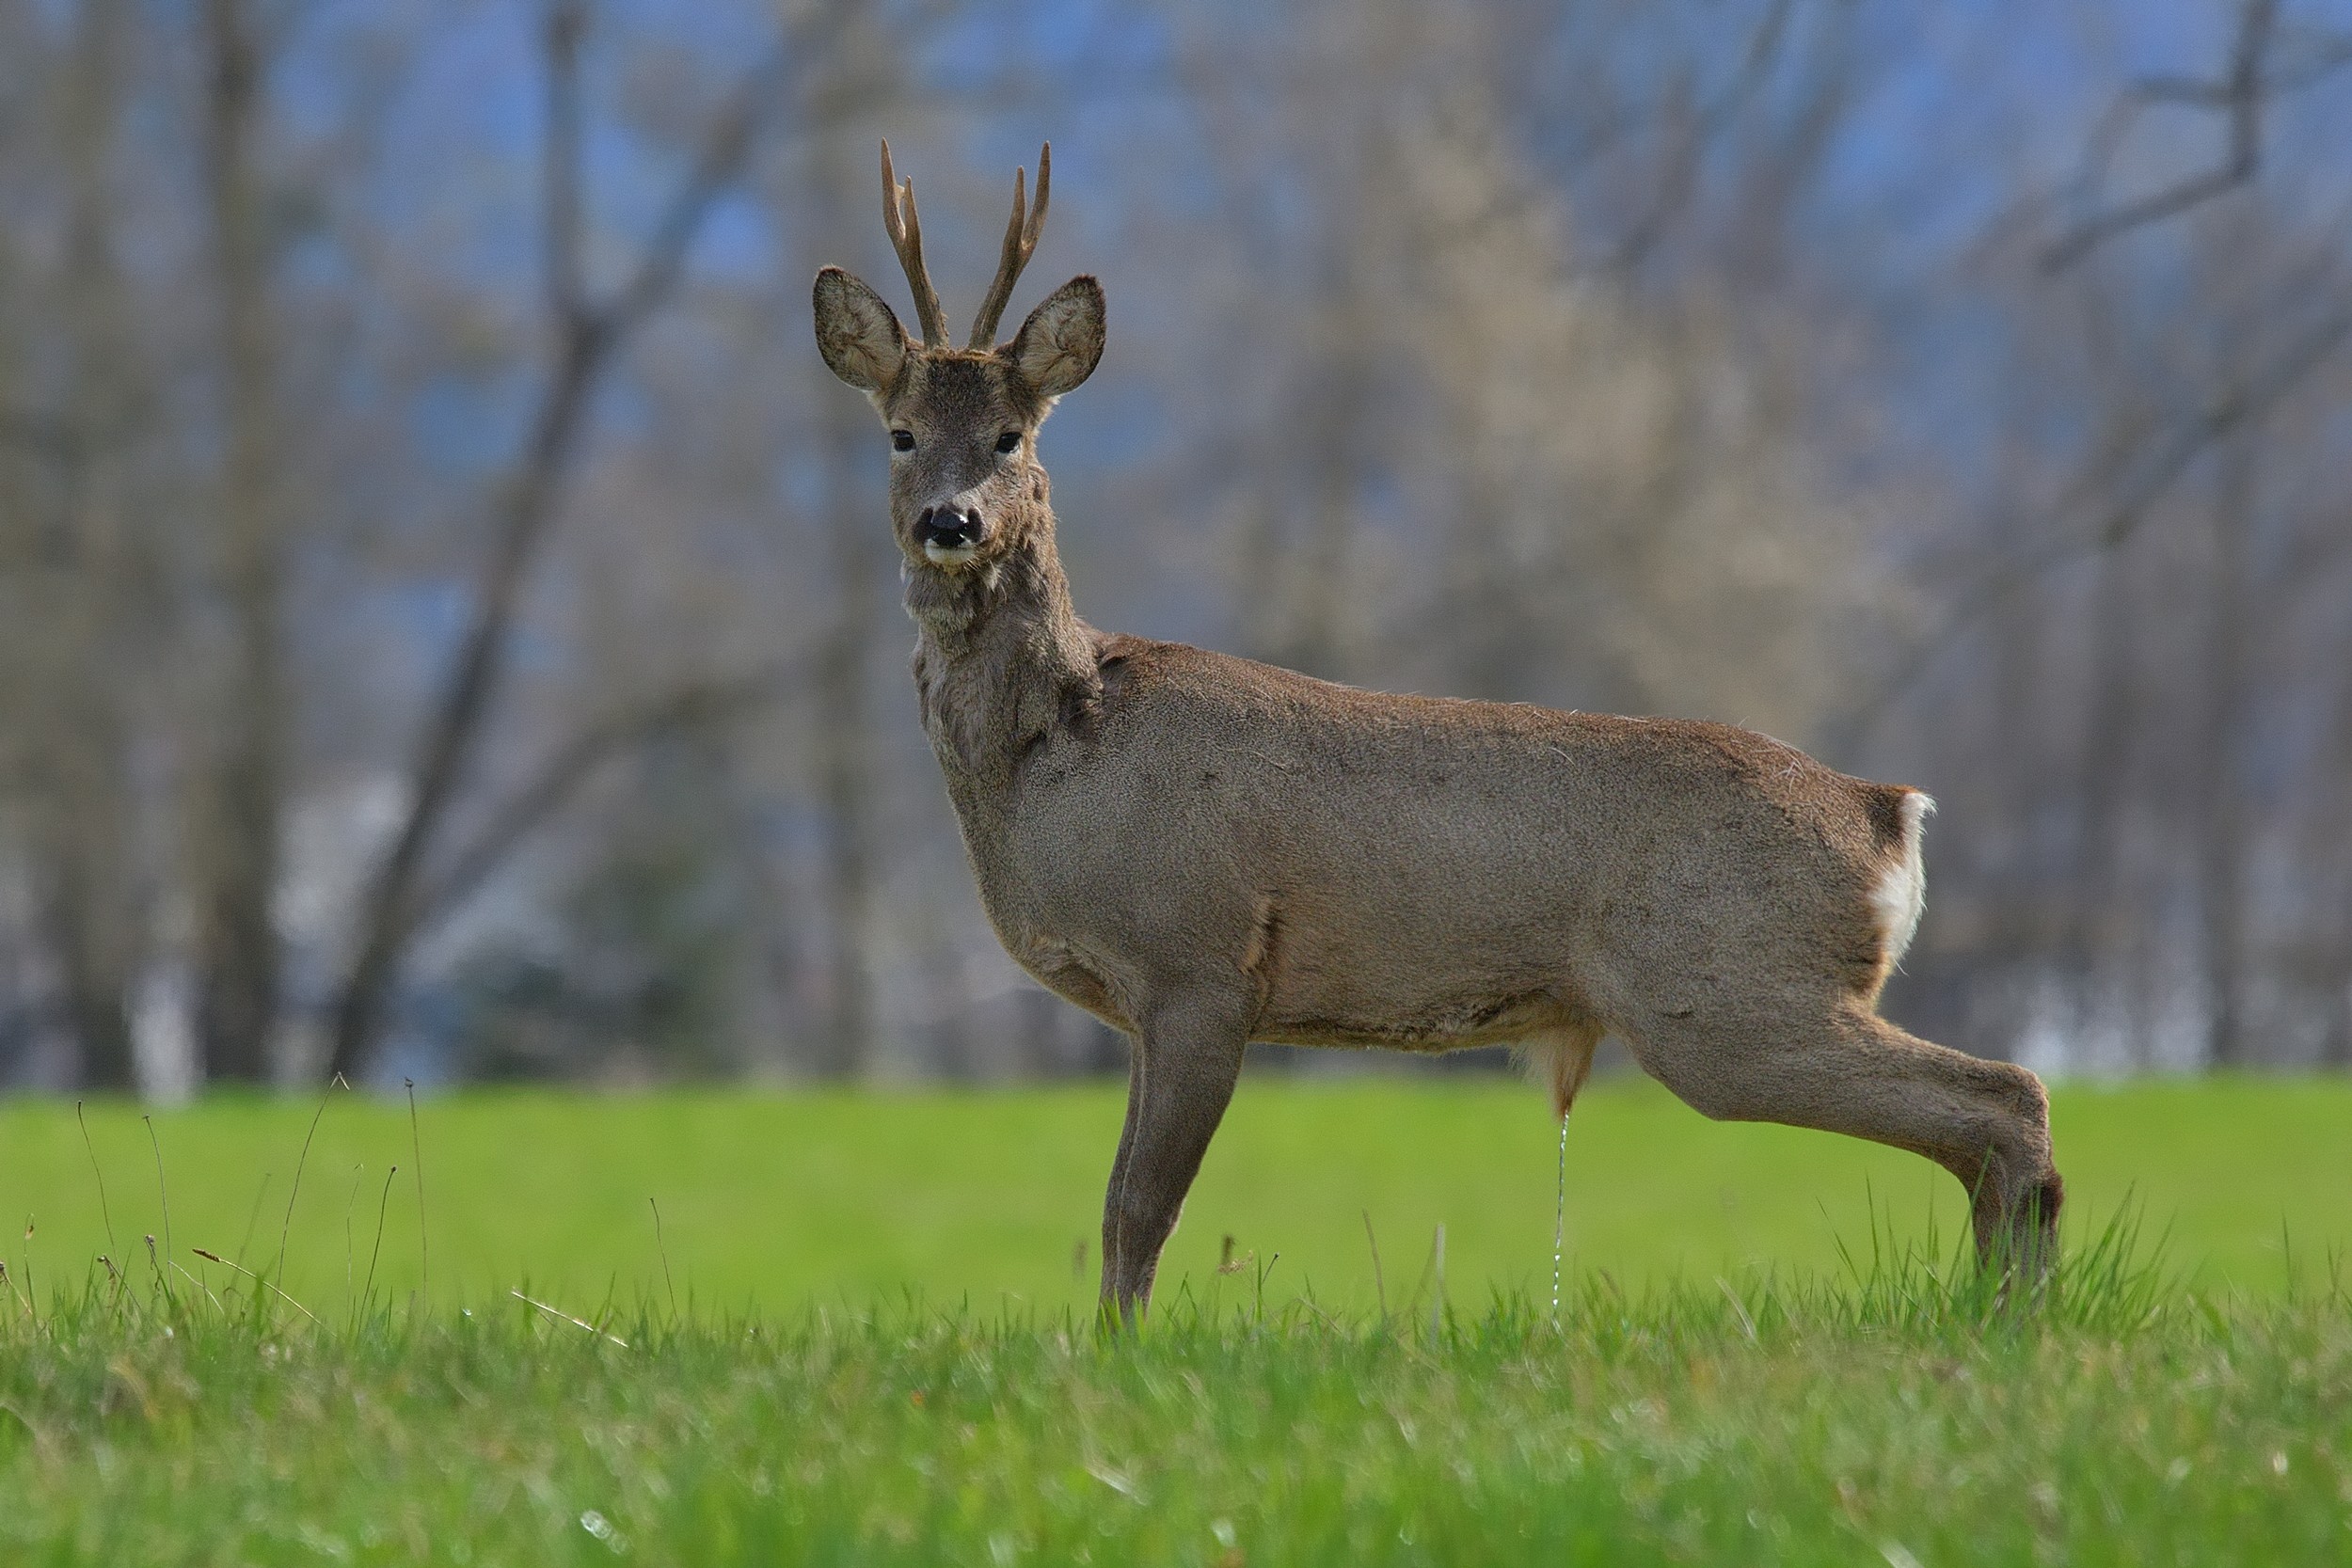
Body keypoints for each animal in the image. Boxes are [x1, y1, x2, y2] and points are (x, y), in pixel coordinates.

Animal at [814, 144, 2060, 1325]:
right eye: (901, 433)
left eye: (1011, 434)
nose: (950, 521)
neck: (1056, 754)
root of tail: (1886, 813)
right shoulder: (1143, 1004)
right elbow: (1122, 1201)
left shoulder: (1197, 962)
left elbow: (1138, 1209)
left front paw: (1121, 1356)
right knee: (1980, 1129)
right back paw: (1995, 1312)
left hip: (1725, 987)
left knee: (2007, 1094)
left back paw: (2017, 1316)